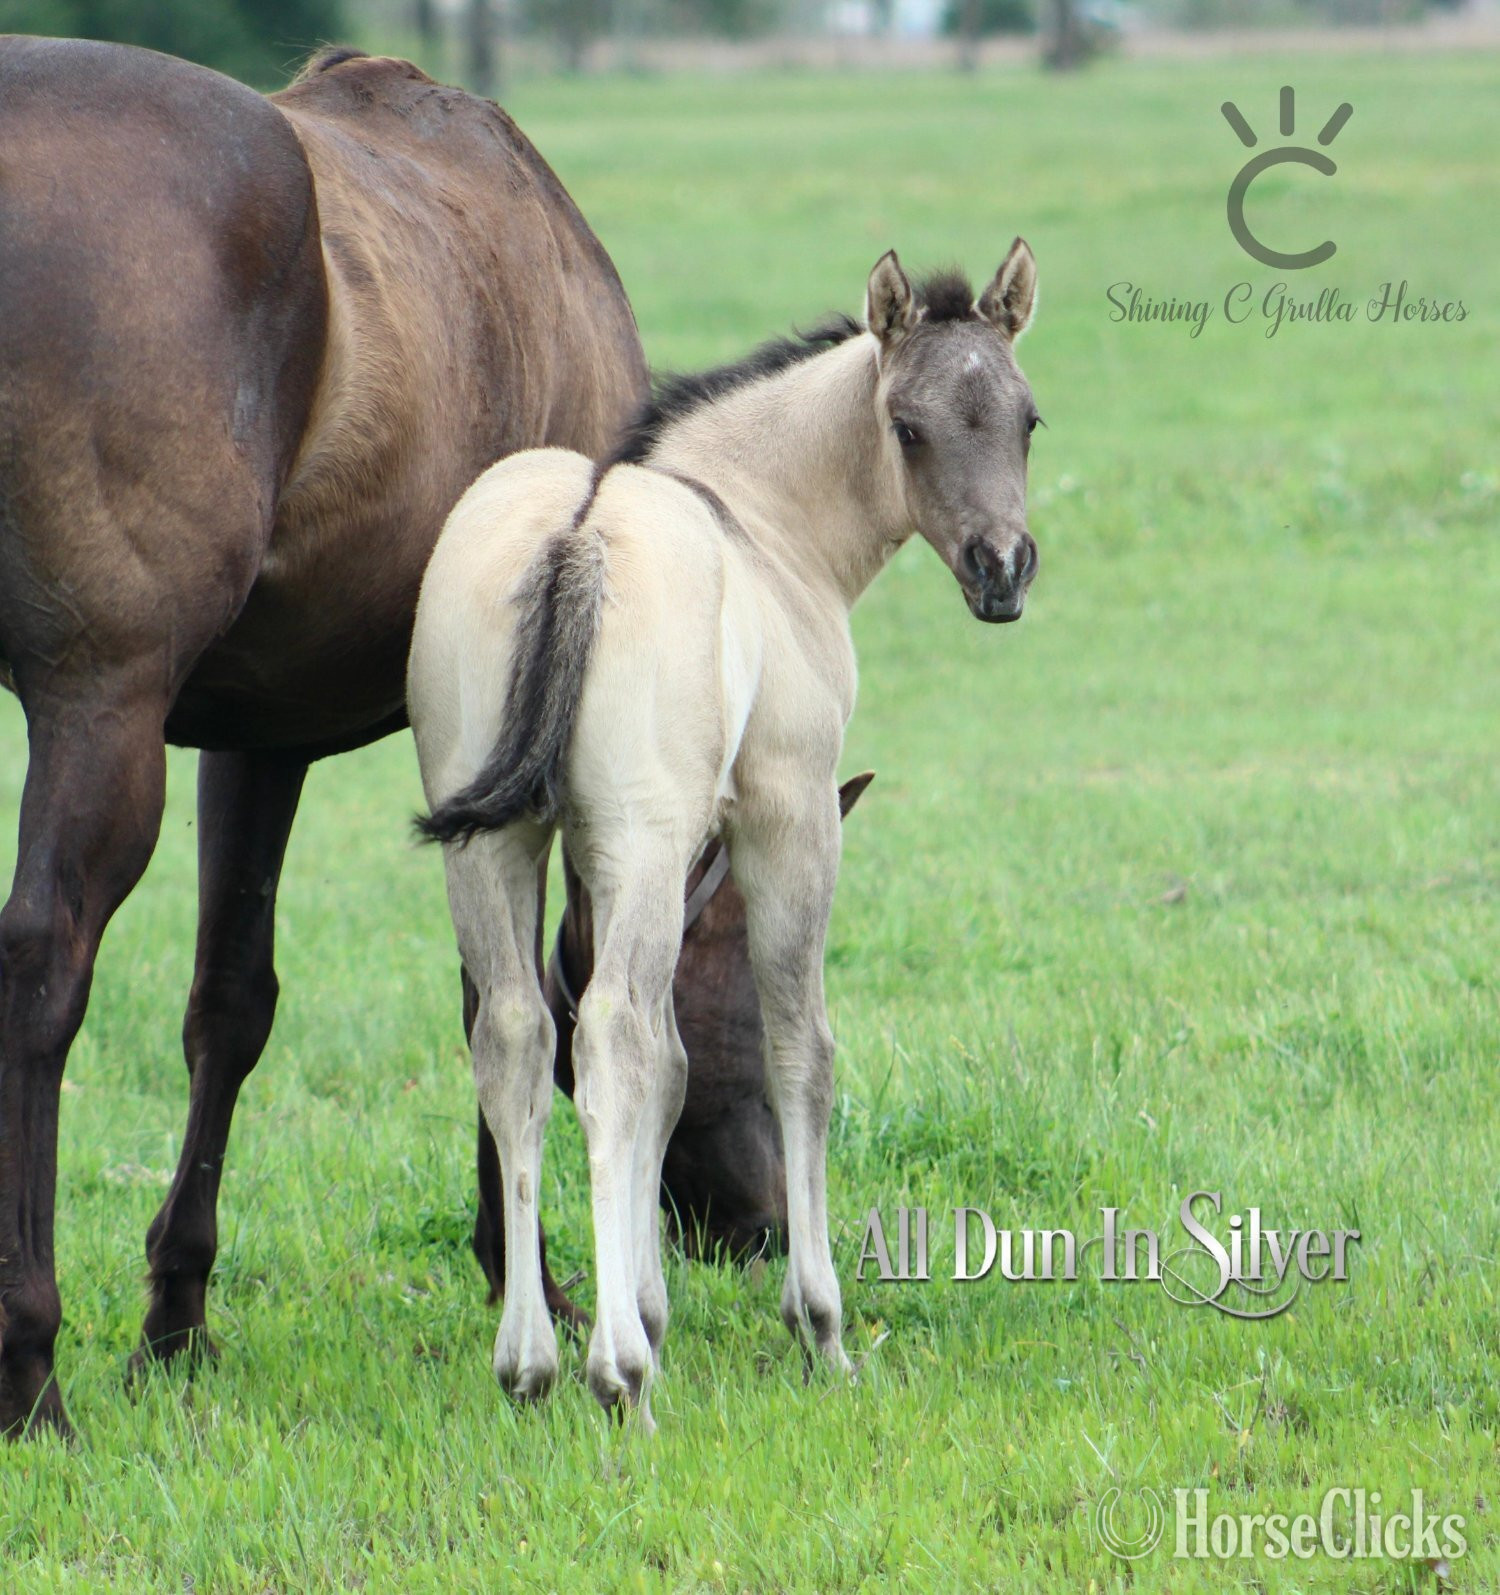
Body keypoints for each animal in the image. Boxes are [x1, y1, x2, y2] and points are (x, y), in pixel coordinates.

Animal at [0, 34, 657, 1438]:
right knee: (42, 967)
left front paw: (177, 1318)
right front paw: (531, 1277)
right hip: (101, 707)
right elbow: (519, 992)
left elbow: (230, 1004)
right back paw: (27, 1361)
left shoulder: (258, 739)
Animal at [409, 241, 1042, 1425]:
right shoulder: (790, 812)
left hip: (494, 844)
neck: (759, 521)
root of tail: (578, 532)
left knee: (518, 1035)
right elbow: (799, 1050)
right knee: (606, 1035)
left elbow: (669, 1063)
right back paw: (618, 1375)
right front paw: (818, 1327)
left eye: (1027, 418)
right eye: (908, 426)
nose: (1002, 569)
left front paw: (653, 1304)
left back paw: (531, 1363)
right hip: (648, 838)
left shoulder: (591, 857)